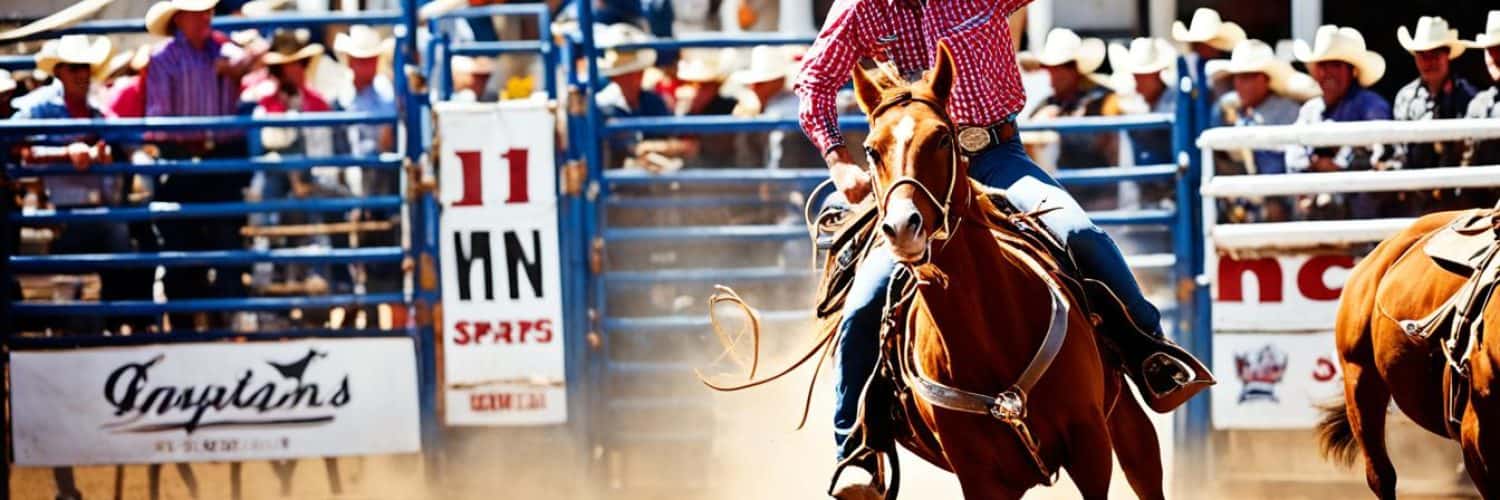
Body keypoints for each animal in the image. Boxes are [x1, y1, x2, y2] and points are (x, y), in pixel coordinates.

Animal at [840, 43, 1164, 498]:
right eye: (870, 149)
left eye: (942, 137)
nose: (902, 227)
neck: (991, 335)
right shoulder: (978, 474)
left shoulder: (1090, 444)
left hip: (1122, 414)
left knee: (1144, 465)